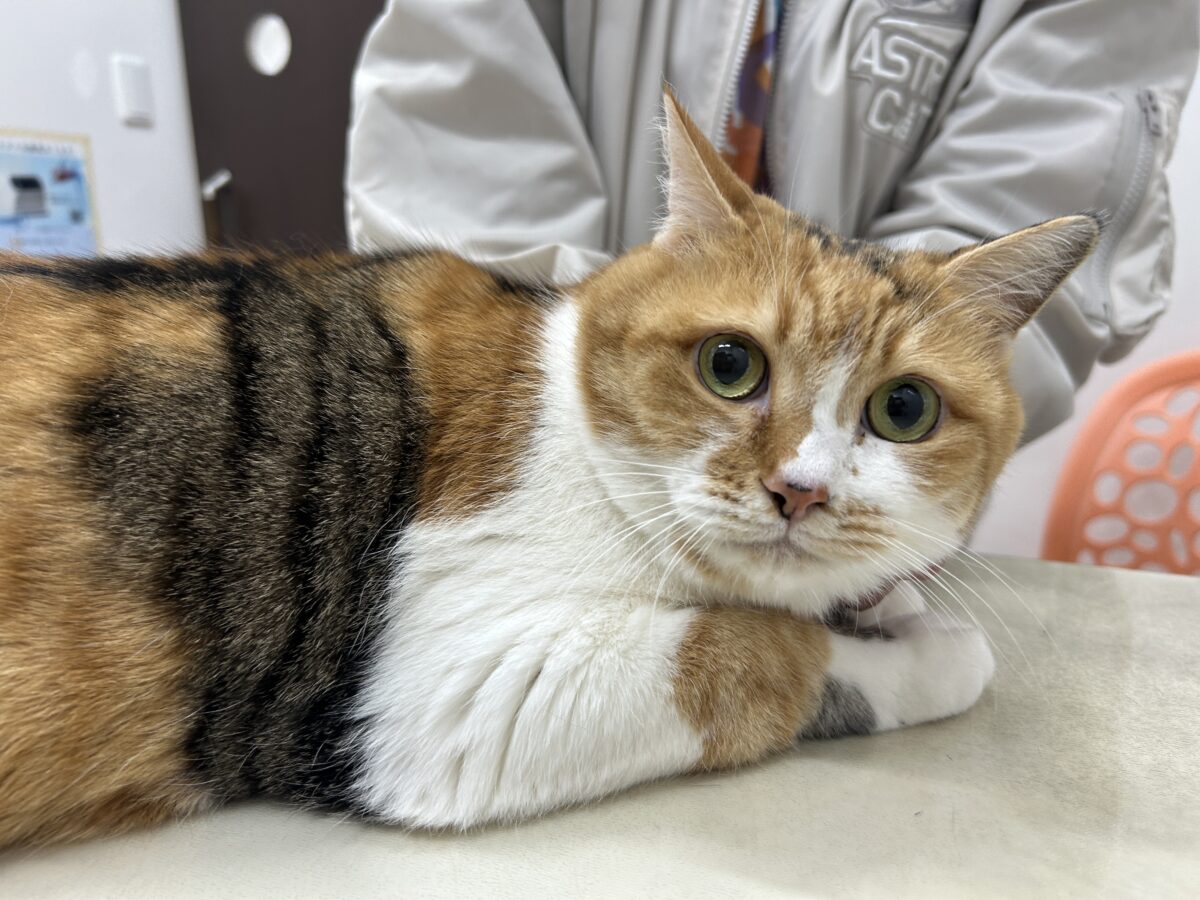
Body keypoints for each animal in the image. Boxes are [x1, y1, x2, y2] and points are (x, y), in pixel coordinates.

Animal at [0, 92, 1098, 847]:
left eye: (903, 410)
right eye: (730, 365)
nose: (801, 489)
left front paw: (883, 601)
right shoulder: (440, 696)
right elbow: (755, 653)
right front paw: (923, 652)